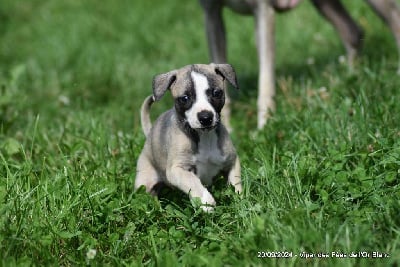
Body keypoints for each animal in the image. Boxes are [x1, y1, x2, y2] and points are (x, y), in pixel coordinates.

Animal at [135, 63, 241, 213]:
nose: (205, 118)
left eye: (216, 93)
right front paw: (206, 201)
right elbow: (192, 181)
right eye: (185, 98)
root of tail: (150, 134)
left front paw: (240, 202)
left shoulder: (232, 161)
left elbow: (236, 183)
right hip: (145, 183)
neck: (204, 136)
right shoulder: (176, 170)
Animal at [200, 0, 400, 130]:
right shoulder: (211, 13)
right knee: (352, 31)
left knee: (393, 18)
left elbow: (265, 81)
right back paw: (350, 77)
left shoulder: (263, 10)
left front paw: (265, 130)